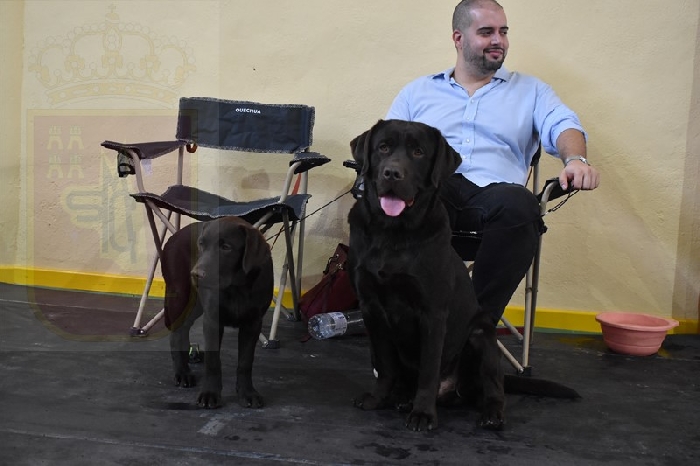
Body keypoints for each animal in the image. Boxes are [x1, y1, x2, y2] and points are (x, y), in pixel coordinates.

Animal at [161, 216, 273, 409]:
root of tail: (174, 235)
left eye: (226, 247)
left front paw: (247, 393)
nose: (196, 274)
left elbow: (245, 362)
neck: (237, 288)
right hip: (180, 295)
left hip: (196, 304)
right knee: (176, 333)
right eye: (201, 244)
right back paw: (183, 373)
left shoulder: (253, 324)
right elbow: (213, 362)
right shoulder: (212, 319)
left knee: (184, 329)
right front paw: (210, 394)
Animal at [347, 119, 577, 431]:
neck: (391, 233)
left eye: (418, 152)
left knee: (493, 387)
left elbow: (429, 370)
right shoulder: (371, 309)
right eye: (383, 147)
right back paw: (402, 398)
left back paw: (490, 414)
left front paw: (423, 414)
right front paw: (376, 398)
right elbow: (384, 365)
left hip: (482, 337)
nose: (392, 173)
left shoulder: (432, 313)